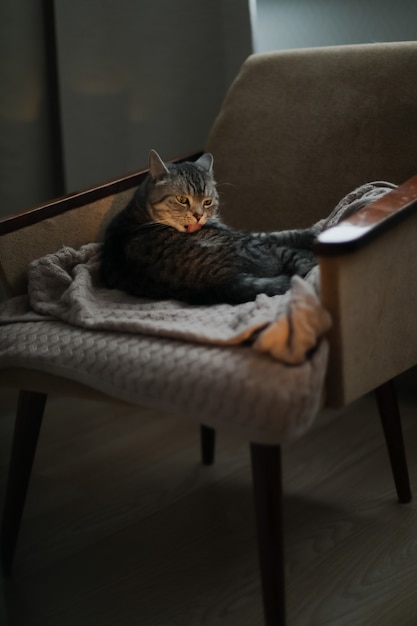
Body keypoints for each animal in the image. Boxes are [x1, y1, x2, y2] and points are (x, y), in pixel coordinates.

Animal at [100, 150, 318, 306]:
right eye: (181, 199)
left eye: (207, 202)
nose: (199, 215)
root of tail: (222, 280)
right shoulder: (248, 235)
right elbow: (283, 234)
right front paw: (312, 232)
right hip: (255, 246)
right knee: (303, 261)